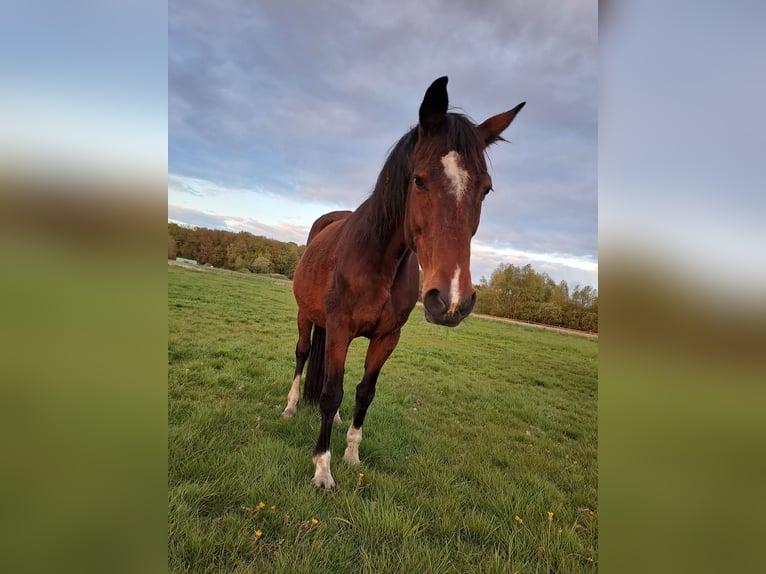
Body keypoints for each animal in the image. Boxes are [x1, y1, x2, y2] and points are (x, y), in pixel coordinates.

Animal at [284, 75, 528, 490]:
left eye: (486, 188)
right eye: (419, 180)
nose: (451, 300)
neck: (377, 258)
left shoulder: (387, 337)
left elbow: (364, 392)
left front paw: (351, 453)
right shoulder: (338, 326)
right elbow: (332, 391)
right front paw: (322, 468)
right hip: (307, 316)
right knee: (303, 355)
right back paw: (291, 405)